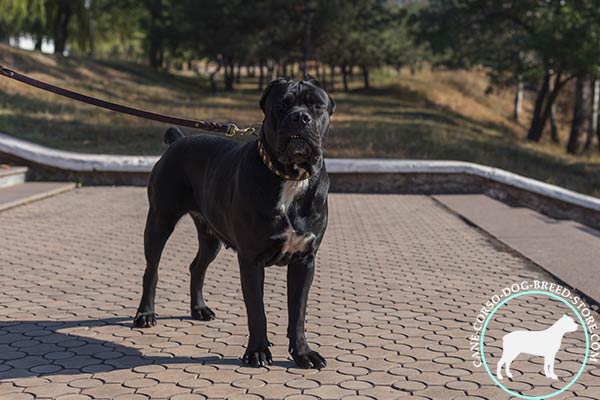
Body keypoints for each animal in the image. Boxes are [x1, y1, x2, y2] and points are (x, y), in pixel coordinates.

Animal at [133, 76, 336, 368]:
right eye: (282, 105)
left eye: (316, 105)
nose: (300, 117)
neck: (291, 178)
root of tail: (178, 141)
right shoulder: (251, 260)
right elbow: (257, 310)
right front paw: (258, 352)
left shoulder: (304, 260)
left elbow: (298, 312)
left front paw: (303, 353)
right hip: (160, 220)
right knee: (152, 269)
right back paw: (145, 314)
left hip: (211, 236)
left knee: (197, 267)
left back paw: (199, 309)